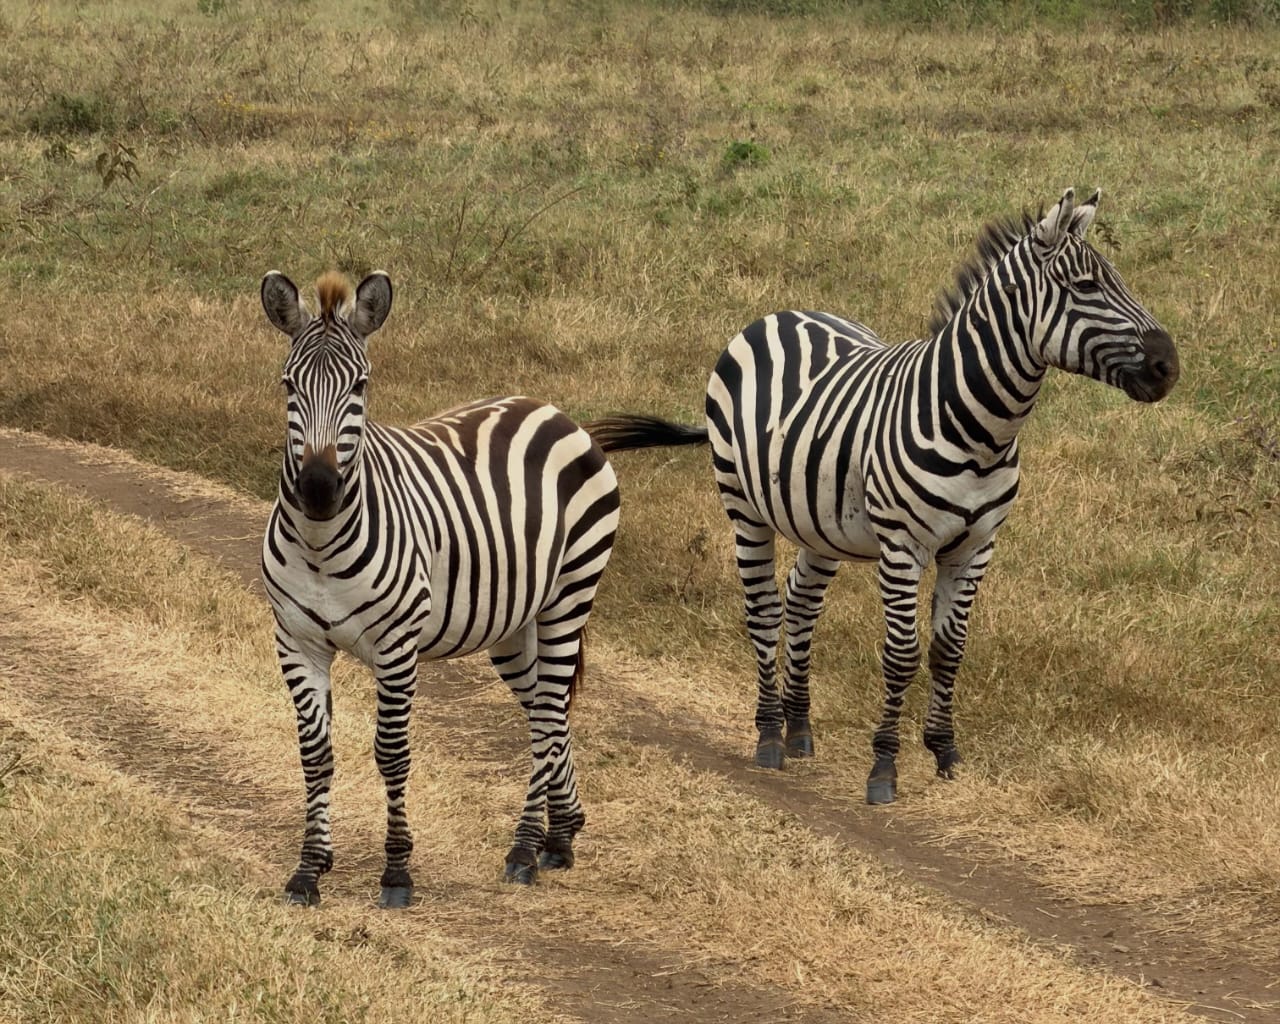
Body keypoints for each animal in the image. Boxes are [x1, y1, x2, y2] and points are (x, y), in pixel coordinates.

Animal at [260, 269, 620, 906]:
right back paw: (560, 833)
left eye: (361, 386)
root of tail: (553, 410)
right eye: (288, 385)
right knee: (544, 715)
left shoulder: (396, 648)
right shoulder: (297, 642)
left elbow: (392, 755)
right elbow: (315, 756)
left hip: (570, 593)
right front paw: (308, 869)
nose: (320, 489)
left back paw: (525, 847)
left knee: (550, 713)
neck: (321, 543)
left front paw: (397, 871)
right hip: (514, 623)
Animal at [587, 188, 1179, 805]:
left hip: (819, 521)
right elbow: (901, 655)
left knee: (801, 601)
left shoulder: (975, 549)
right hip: (743, 506)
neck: (979, 429)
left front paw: (944, 751)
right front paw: (884, 766)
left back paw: (799, 726)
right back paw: (770, 732)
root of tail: (776, 316)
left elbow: (949, 650)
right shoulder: (903, 547)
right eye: (1085, 286)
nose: (1170, 366)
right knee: (764, 608)